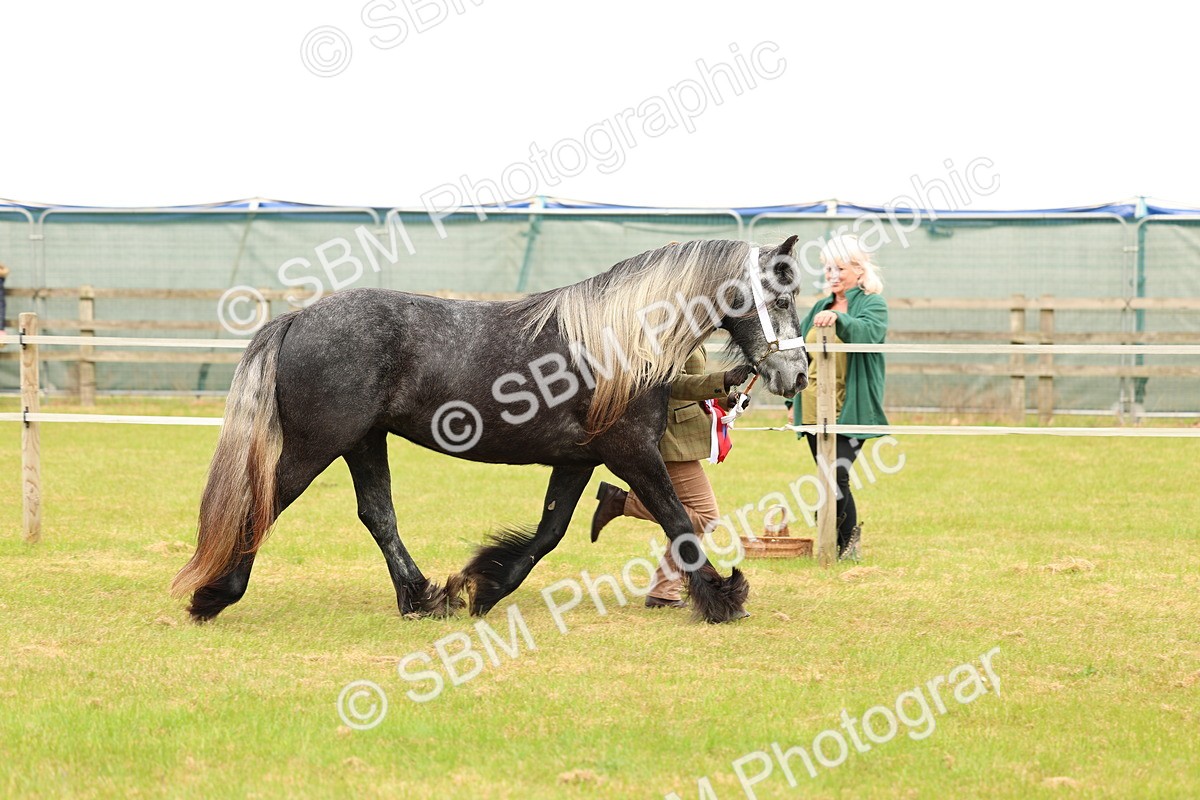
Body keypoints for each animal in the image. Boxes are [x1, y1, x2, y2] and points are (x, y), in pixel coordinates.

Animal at [171, 236, 809, 624]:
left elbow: (549, 532)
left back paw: (424, 597)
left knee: (378, 515)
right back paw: (214, 594)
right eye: (780, 295)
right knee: (267, 502)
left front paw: (485, 586)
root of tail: (300, 317)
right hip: (317, 446)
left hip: (362, 443)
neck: (620, 342)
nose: (796, 373)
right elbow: (678, 522)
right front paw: (724, 598)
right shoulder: (632, 452)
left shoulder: (579, 459)